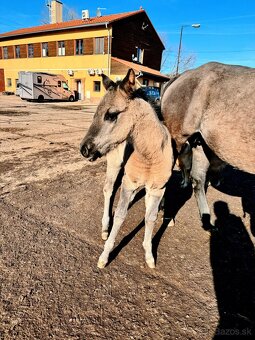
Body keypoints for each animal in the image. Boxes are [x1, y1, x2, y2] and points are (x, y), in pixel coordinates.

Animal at [80, 67, 174, 266]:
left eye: (111, 115)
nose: (84, 149)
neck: (150, 156)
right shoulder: (129, 183)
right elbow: (120, 216)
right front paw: (105, 255)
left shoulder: (157, 188)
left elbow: (150, 218)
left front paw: (149, 255)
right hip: (115, 165)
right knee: (108, 190)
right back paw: (104, 227)